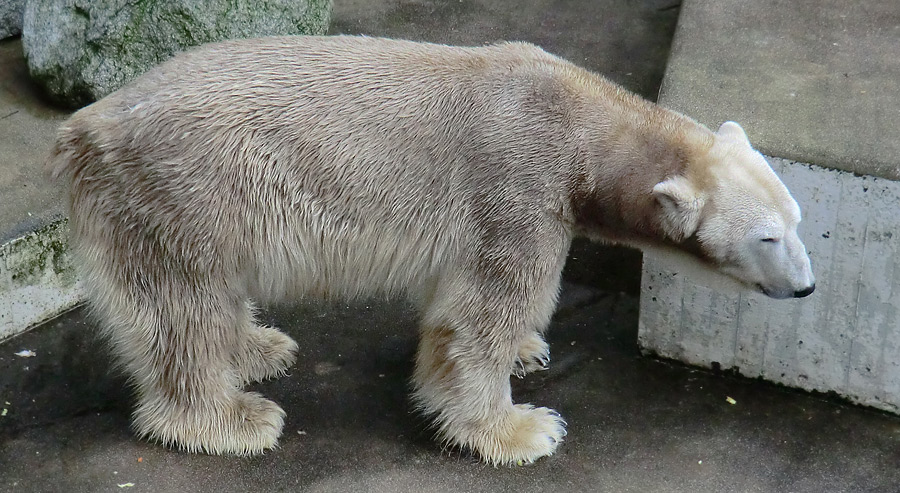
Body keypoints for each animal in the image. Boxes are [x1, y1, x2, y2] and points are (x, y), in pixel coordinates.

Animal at [45, 34, 812, 466]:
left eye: (798, 218)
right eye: (766, 237)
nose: (806, 287)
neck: (585, 127)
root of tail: (85, 128)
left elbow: (458, 297)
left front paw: (527, 351)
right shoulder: (520, 185)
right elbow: (480, 313)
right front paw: (520, 429)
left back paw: (260, 347)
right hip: (183, 190)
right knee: (183, 303)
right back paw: (233, 416)